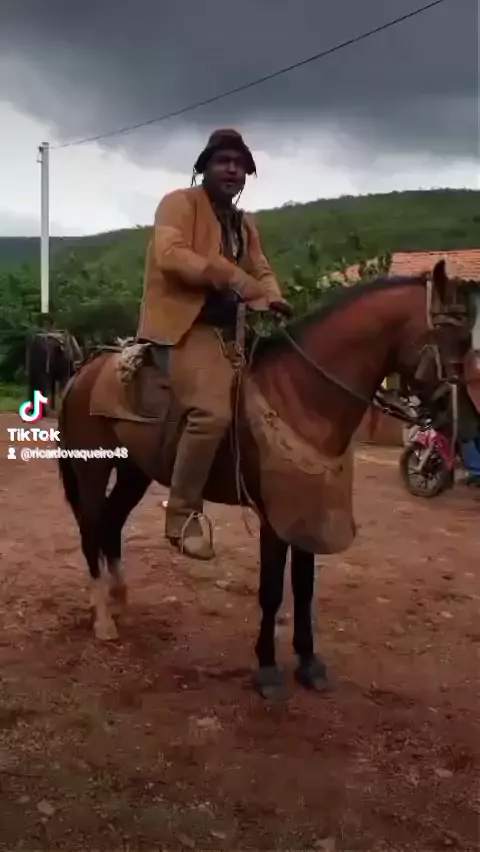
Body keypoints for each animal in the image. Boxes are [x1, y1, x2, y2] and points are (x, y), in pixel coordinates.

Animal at [56, 262, 471, 699]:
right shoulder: (273, 519)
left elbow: (303, 590)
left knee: (111, 524)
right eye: (452, 336)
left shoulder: (306, 510)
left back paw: (119, 599)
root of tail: (83, 371)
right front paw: (268, 668)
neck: (301, 395)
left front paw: (309, 663)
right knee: (91, 531)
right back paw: (104, 618)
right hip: (91, 469)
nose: (450, 417)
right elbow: (271, 591)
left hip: (134, 472)